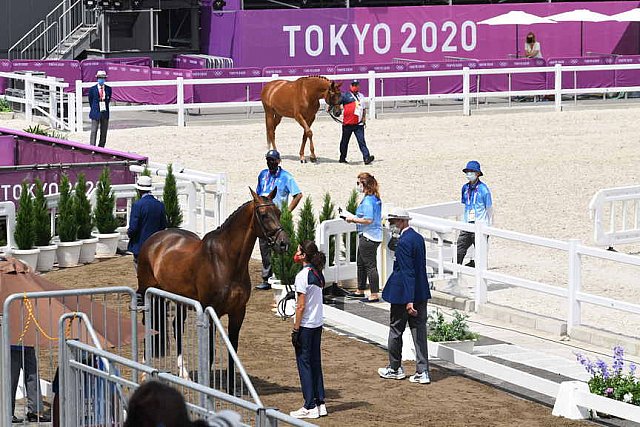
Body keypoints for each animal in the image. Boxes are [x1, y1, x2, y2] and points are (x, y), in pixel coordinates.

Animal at [136, 189, 288, 382]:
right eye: (263, 214)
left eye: (279, 213)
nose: (283, 243)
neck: (226, 261)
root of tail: (154, 239)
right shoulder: (210, 311)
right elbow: (210, 351)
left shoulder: (238, 312)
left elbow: (233, 347)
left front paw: (230, 386)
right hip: (149, 293)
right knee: (147, 323)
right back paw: (143, 370)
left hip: (179, 301)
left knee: (177, 327)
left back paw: (183, 372)